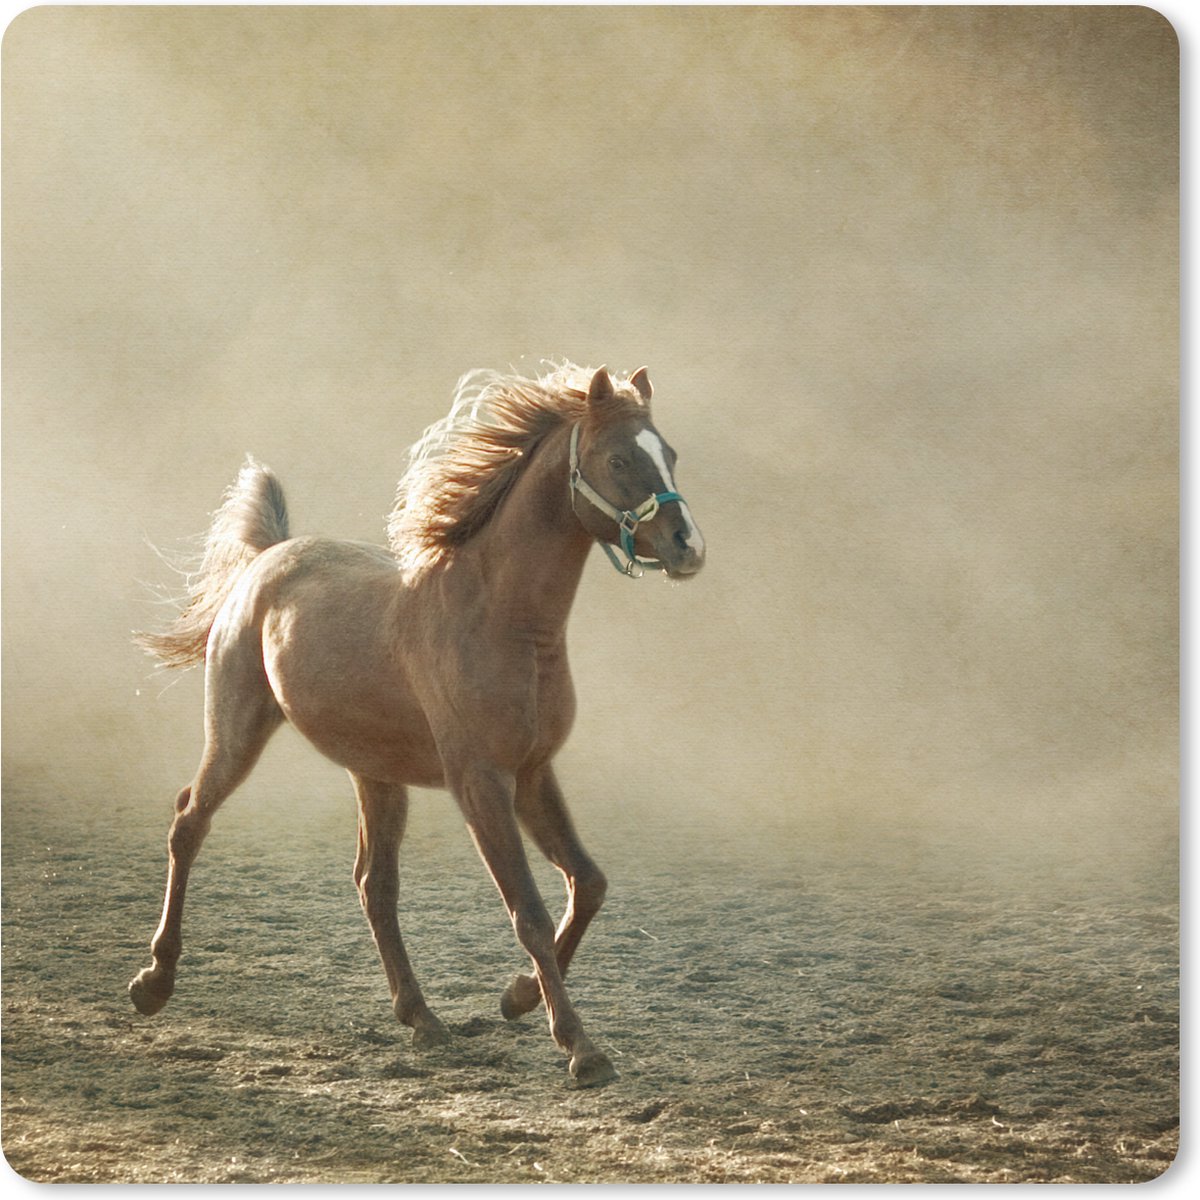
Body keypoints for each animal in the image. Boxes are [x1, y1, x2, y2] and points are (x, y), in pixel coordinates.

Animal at [128, 363, 705, 1087]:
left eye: (671, 454)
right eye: (620, 458)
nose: (689, 547)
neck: (502, 621)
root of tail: (269, 557)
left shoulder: (532, 774)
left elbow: (589, 883)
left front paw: (517, 998)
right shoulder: (480, 783)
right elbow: (530, 913)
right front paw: (580, 1048)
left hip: (374, 772)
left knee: (373, 885)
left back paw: (422, 1018)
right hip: (237, 730)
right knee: (189, 822)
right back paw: (153, 982)